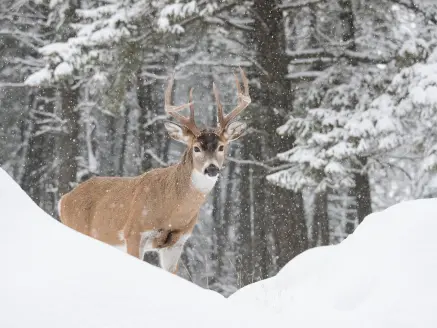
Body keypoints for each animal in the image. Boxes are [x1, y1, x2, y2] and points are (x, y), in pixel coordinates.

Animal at [58, 68, 250, 274]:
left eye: (221, 147)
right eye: (196, 148)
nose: (212, 168)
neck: (171, 211)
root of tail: (63, 200)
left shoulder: (177, 243)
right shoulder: (134, 232)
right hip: (78, 226)